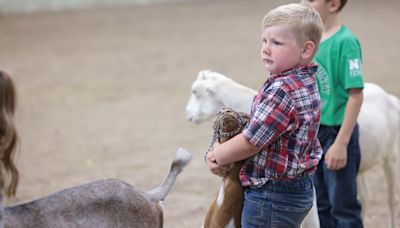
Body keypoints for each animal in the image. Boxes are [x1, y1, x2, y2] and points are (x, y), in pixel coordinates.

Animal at [187, 70, 400, 228]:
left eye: (196, 92)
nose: (188, 115)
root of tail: (390, 98)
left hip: (390, 157)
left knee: (391, 199)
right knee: (365, 200)